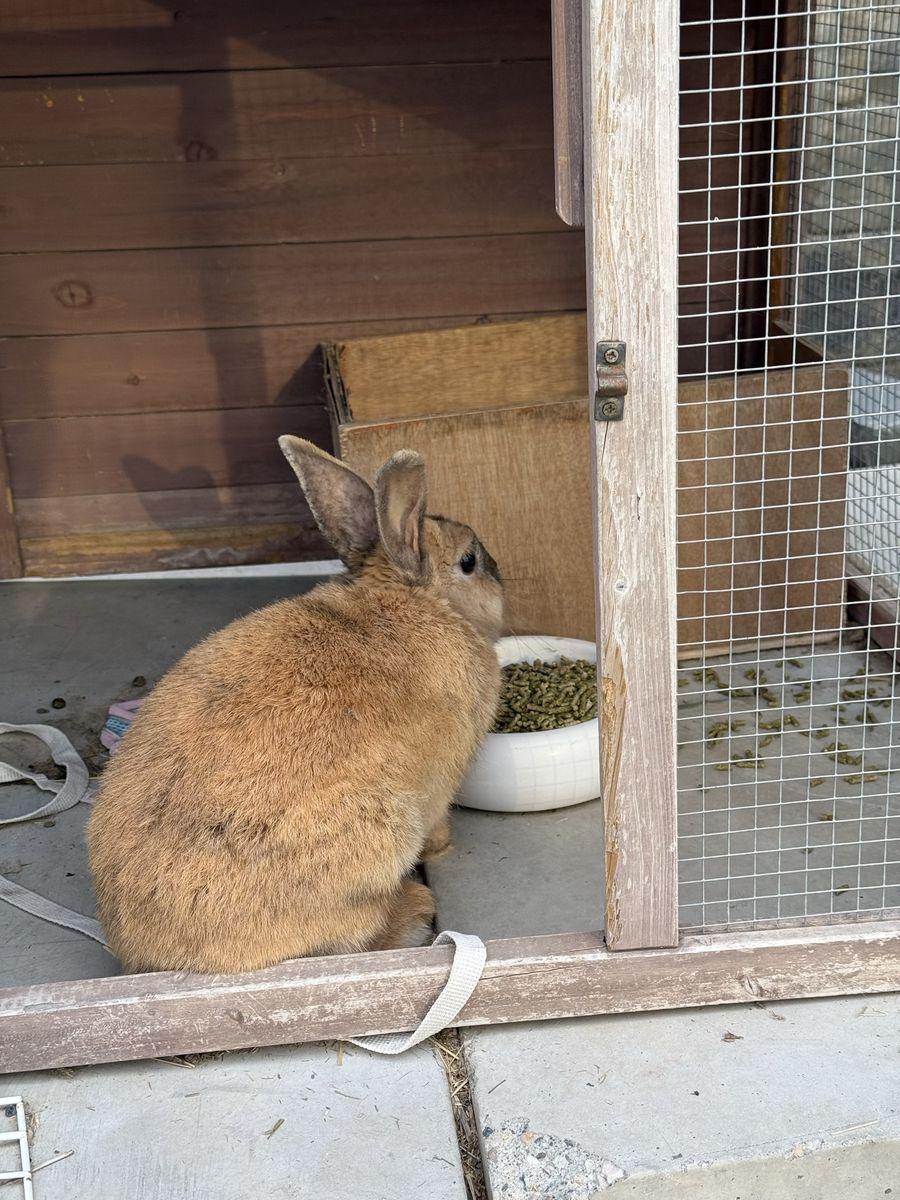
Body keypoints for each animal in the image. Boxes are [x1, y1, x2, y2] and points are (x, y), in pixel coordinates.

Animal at [87, 436, 505, 975]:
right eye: (469, 561)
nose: (501, 574)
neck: (416, 602)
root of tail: (149, 954)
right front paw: (443, 851)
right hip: (378, 837)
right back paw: (416, 907)